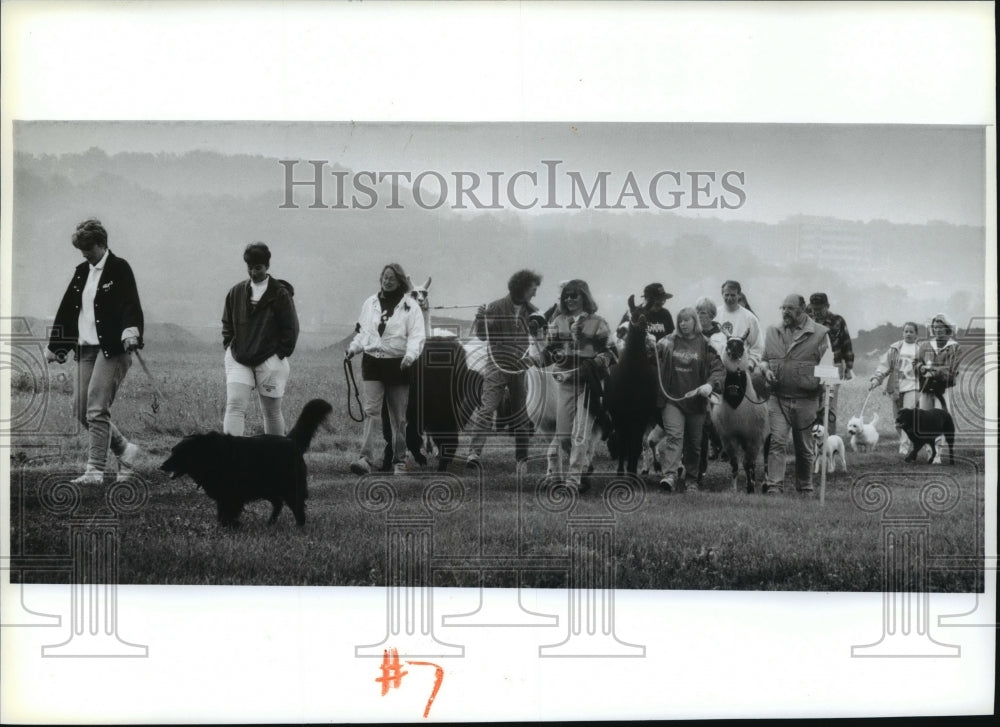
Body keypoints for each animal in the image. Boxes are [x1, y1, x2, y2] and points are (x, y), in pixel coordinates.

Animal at [160, 400, 332, 528]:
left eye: (178, 454)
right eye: (172, 451)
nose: (161, 466)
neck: (210, 454)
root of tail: (291, 441)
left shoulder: (232, 493)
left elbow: (228, 512)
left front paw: (230, 526)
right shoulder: (224, 494)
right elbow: (222, 512)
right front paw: (225, 526)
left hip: (289, 487)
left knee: (297, 506)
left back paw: (299, 526)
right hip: (268, 487)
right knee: (278, 504)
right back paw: (270, 523)